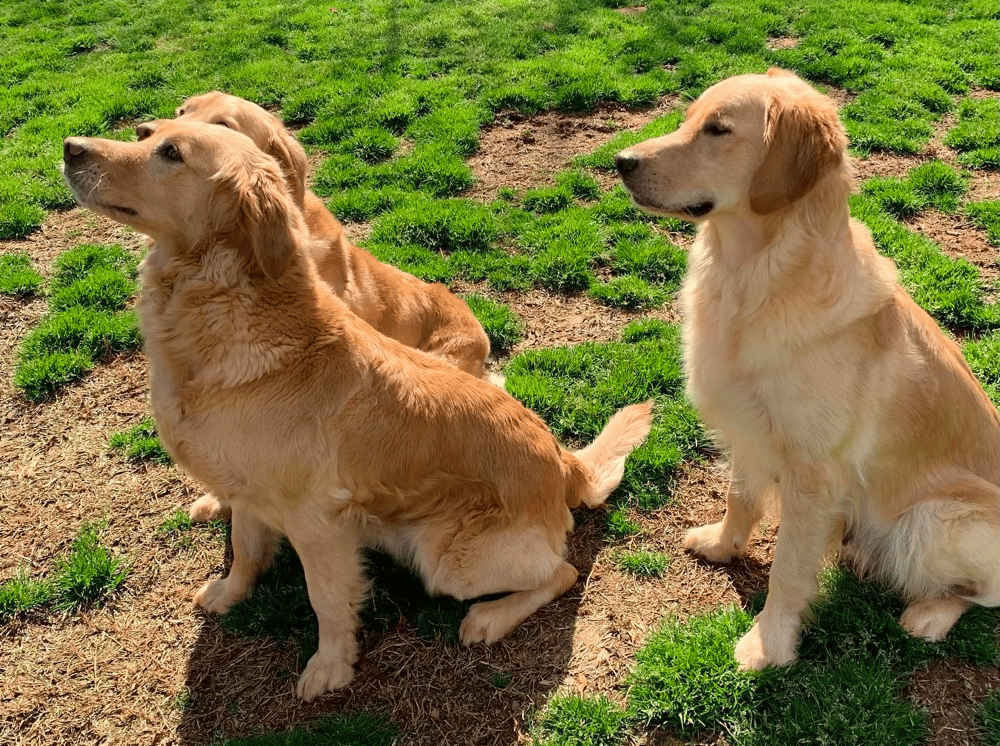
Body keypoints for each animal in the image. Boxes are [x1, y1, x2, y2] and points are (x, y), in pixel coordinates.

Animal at [612, 65, 1000, 668]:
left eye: (719, 130)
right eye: (689, 118)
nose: (621, 161)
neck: (750, 277)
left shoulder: (813, 472)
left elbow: (789, 569)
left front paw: (767, 645)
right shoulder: (748, 427)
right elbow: (740, 496)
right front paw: (722, 545)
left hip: (934, 520)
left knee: (981, 593)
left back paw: (929, 614)